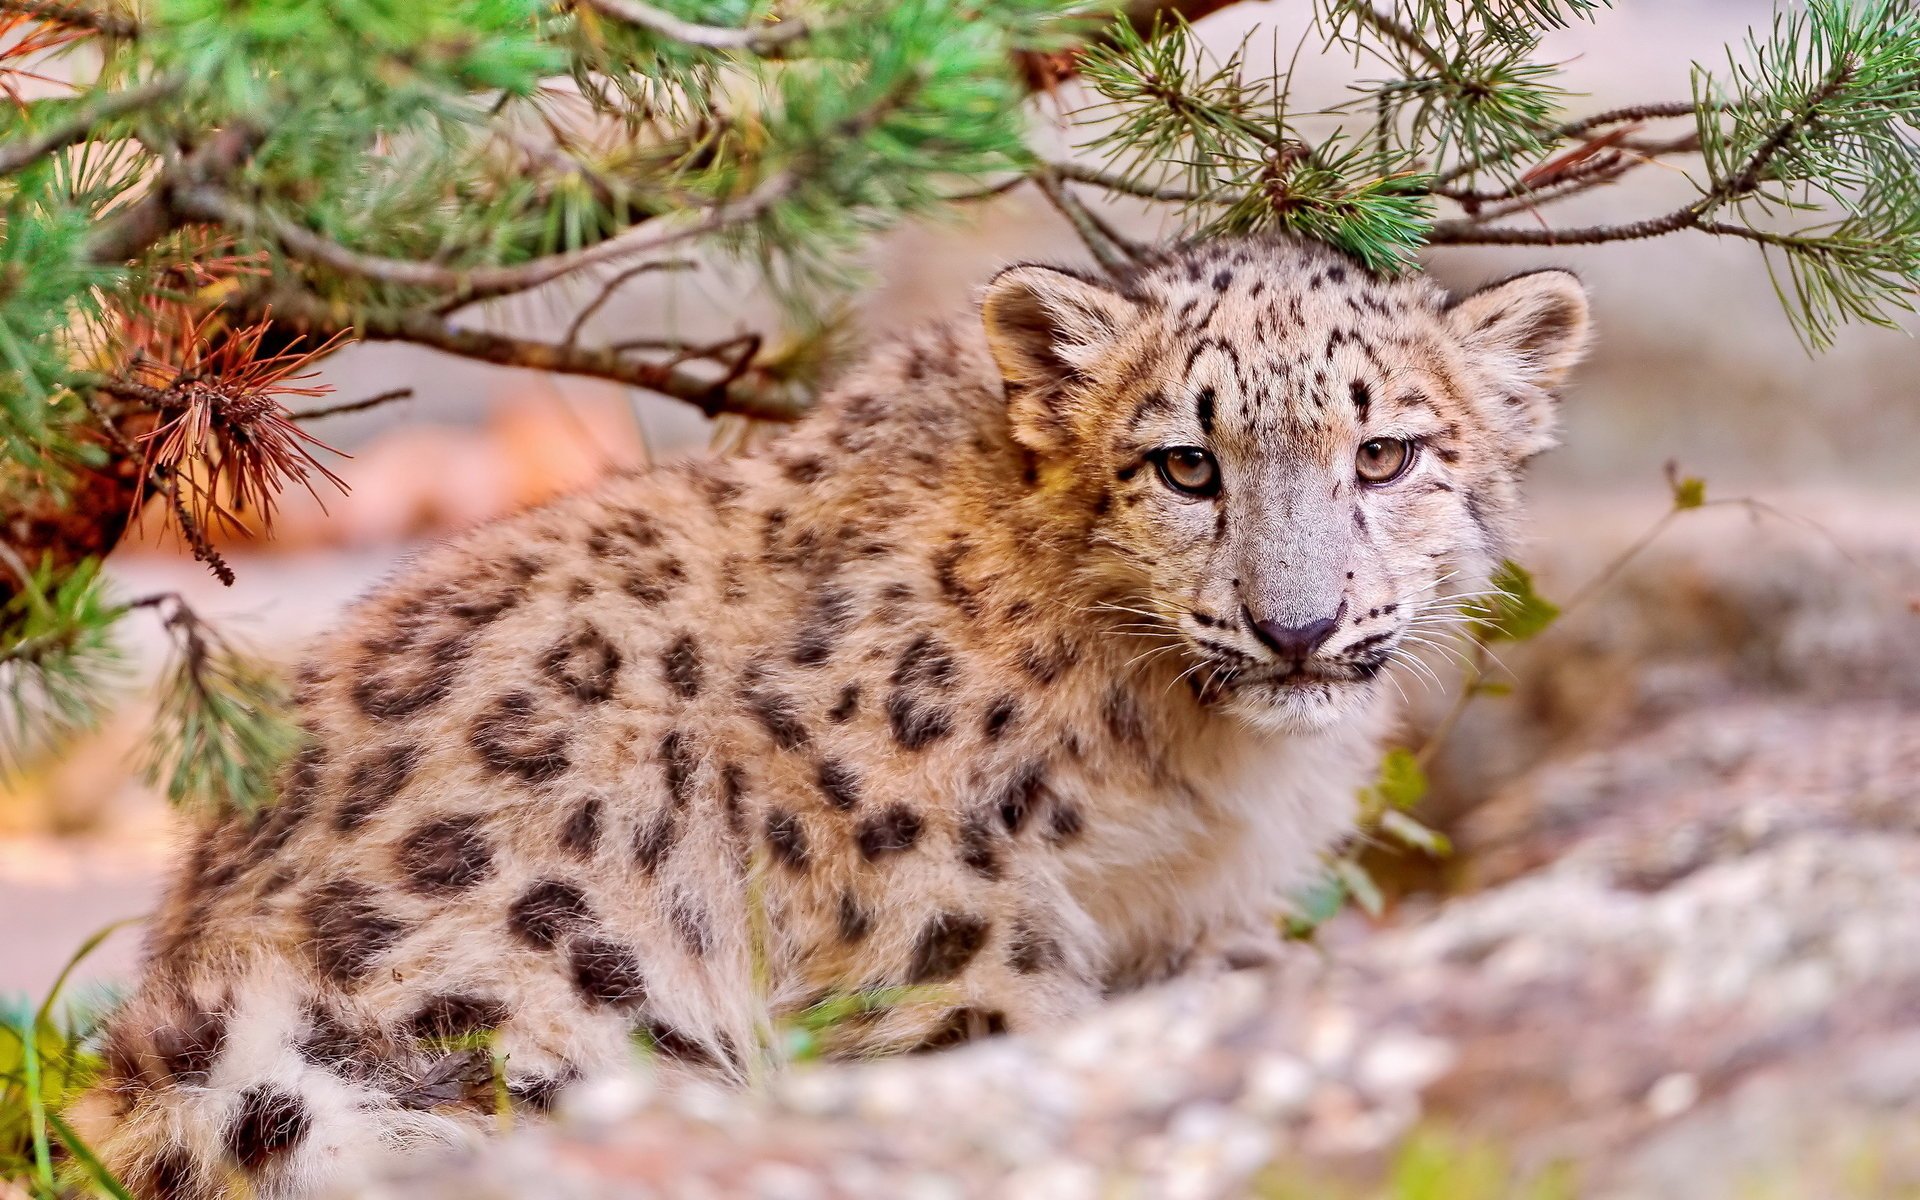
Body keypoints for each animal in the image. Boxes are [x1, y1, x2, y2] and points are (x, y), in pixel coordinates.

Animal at [71, 234, 1589, 1198]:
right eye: (1184, 466)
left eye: (1384, 454)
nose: (1297, 626)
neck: (1192, 763)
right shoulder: (939, 890)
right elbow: (989, 1033)